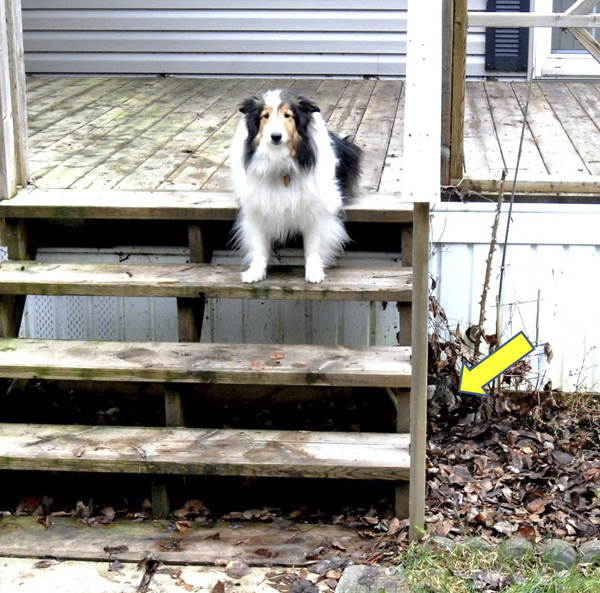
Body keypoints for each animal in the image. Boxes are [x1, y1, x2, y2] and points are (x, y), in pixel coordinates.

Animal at [230, 89, 360, 284]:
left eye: (288, 115)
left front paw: (314, 272)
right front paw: (255, 272)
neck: (280, 165)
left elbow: (313, 246)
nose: (276, 136)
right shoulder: (257, 210)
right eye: (265, 116)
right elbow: (259, 244)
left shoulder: (316, 211)